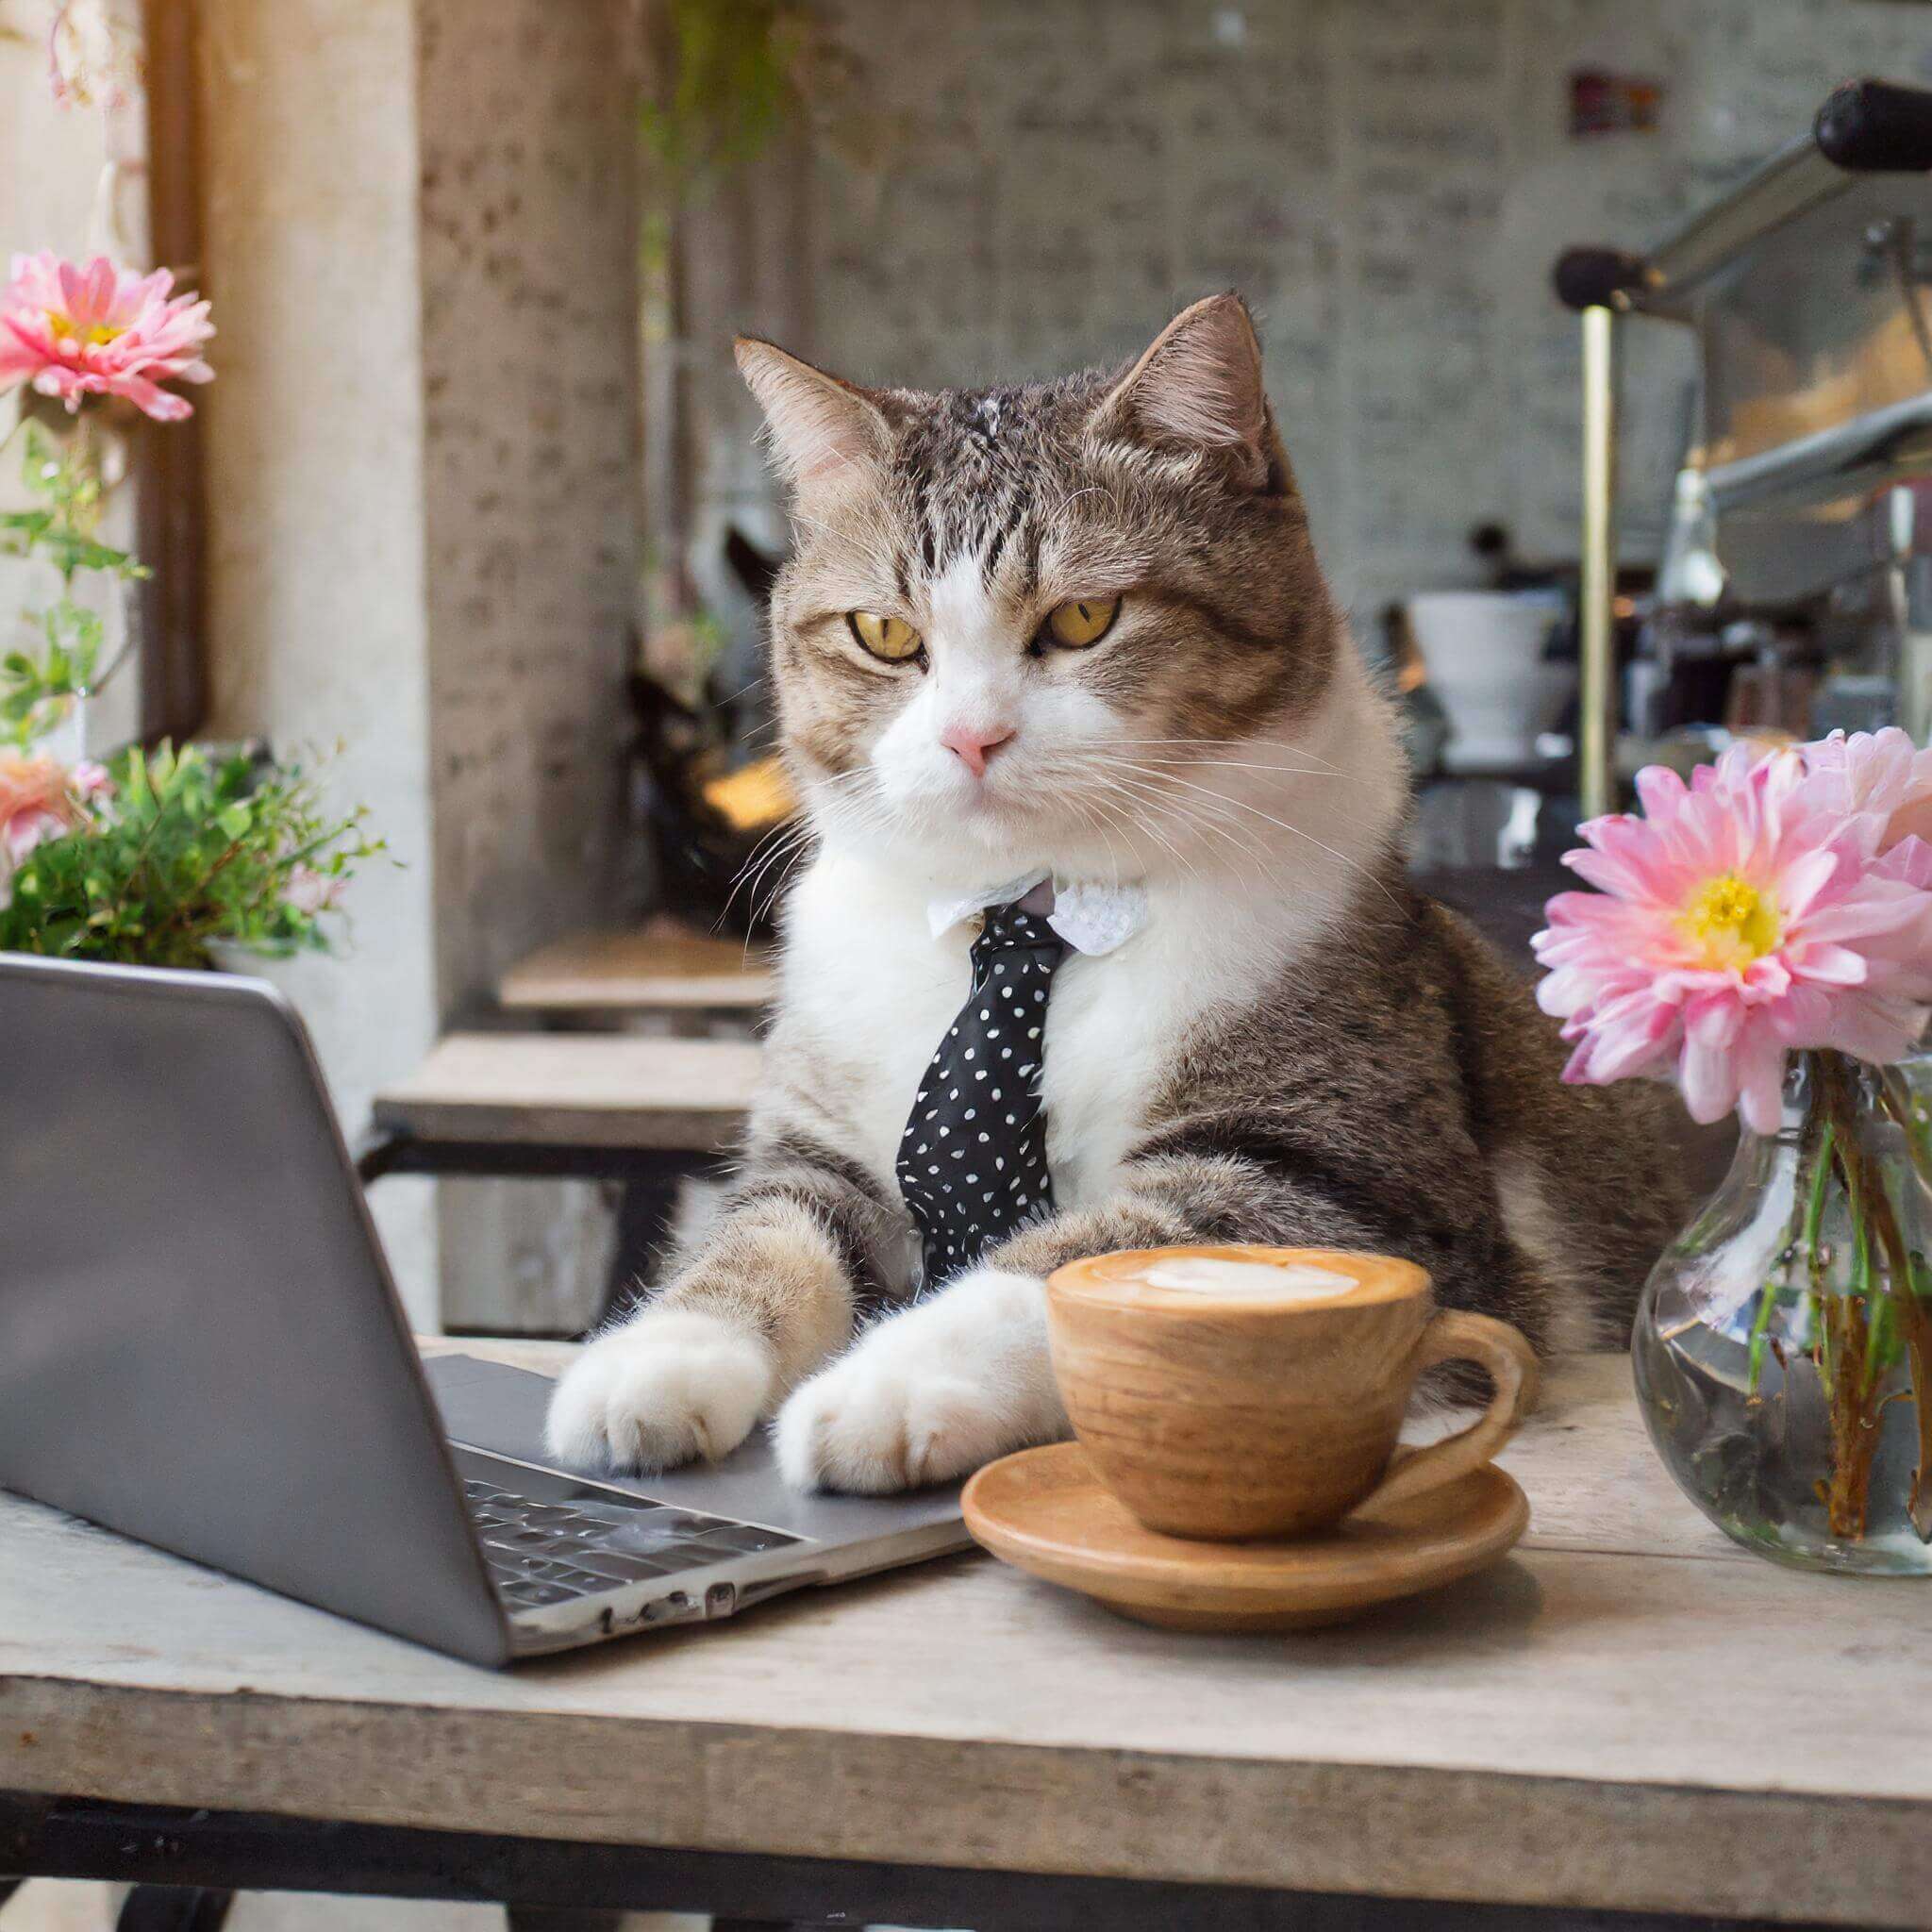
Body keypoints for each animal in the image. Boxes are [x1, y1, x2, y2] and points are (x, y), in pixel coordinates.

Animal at [544, 293, 1692, 1491]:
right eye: (885, 633)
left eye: (1084, 618)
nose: (970, 736)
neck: (1030, 914)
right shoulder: (819, 1156)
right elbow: (760, 1238)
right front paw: (657, 1358)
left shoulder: (1342, 1174)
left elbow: (1078, 1260)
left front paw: (889, 1382)